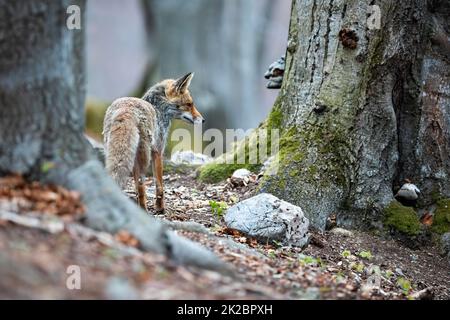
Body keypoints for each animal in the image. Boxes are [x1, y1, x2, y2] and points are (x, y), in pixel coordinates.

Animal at [103, 73, 203, 212]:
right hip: (144, 158)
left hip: (115, 152)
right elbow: (159, 185)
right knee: (141, 185)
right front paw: (160, 208)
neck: (158, 110)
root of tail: (125, 111)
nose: (203, 120)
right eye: (189, 104)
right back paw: (143, 210)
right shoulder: (158, 151)